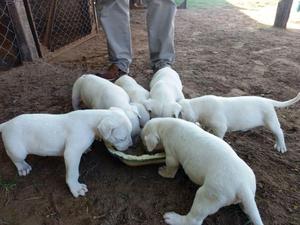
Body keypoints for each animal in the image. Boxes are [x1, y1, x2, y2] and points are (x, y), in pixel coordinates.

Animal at [0, 108, 132, 198]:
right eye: (122, 138)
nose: (130, 145)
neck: (91, 121)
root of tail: (7, 124)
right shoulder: (72, 153)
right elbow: (73, 173)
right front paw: (76, 188)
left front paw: (86, 149)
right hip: (17, 149)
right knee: (15, 158)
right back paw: (23, 167)